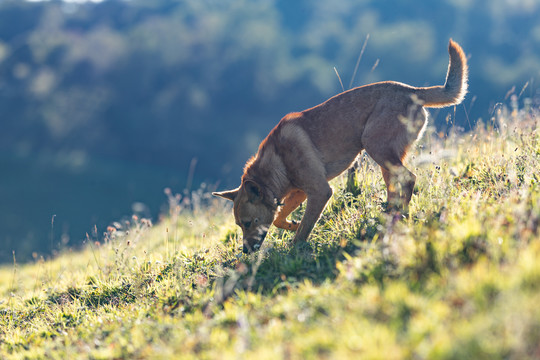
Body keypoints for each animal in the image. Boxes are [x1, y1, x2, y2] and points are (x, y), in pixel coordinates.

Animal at [215, 39, 468, 253]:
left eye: (248, 222)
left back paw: (397, 217)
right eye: (239, 224)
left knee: (409, 179)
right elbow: (280, 218)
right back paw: (389, 215)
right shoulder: (300, 191)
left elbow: (302, 230)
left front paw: (294, 250)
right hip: (386, 159)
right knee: (397, 187)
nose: (246, 251)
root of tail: (413, 91)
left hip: (375, 146)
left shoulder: (320, 191)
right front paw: (292, 224)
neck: (277, 159)